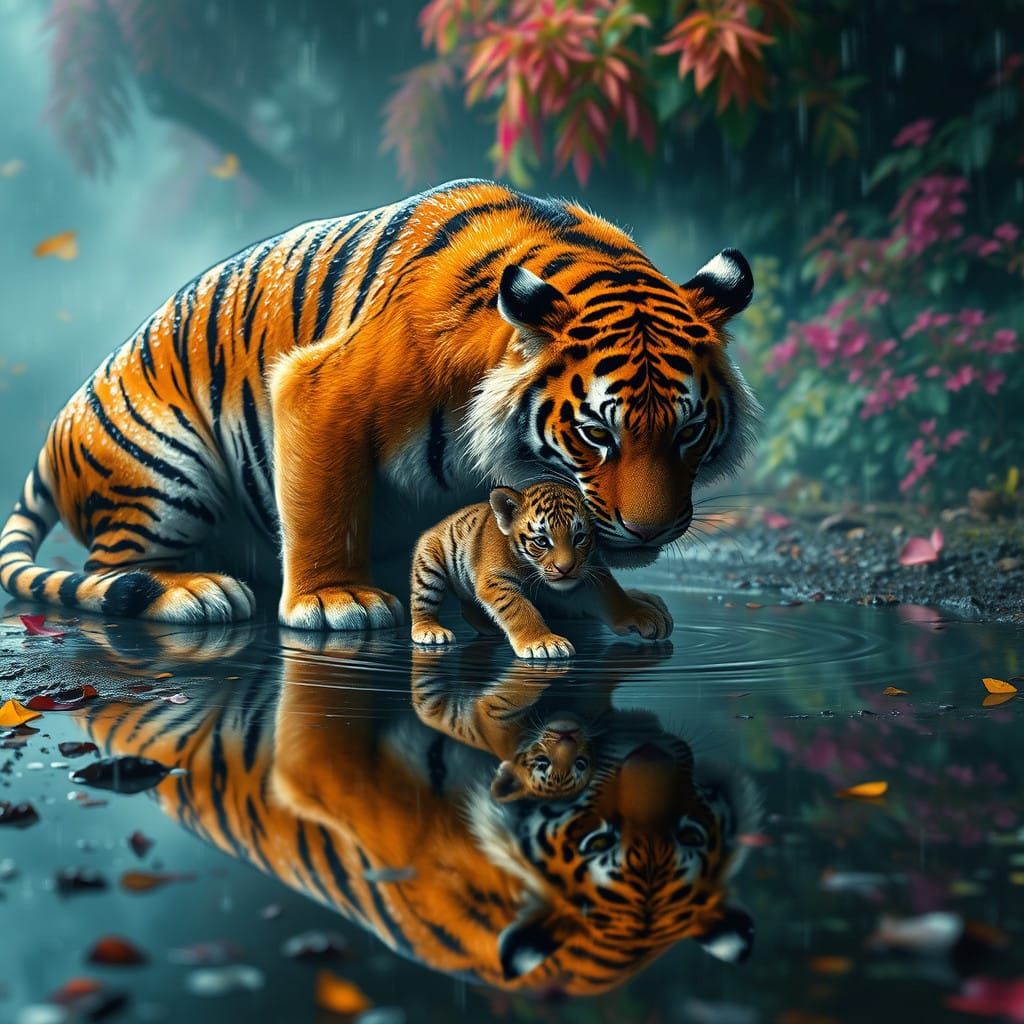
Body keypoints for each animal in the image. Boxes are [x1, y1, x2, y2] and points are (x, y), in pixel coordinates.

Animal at [0, 179, 756, 630]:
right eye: (598, 433)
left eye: (689, 432)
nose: (651, 532)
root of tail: (57, 427)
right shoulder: (317, 389)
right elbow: (323, 503)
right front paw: (334, 600)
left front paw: (622, 609)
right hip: (164, 471)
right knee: (108, 571)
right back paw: (195, 590)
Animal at [410, 482, 672, 659]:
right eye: (542, 541)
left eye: (579, 538)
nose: (565, 568)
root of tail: (438, 524)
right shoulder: (496, 580)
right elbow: (519, 609)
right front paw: (544, 642)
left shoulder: (592, 572)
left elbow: (613, 595)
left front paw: (642, 613)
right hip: (429, 568)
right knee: (423, 604)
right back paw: (430, 631)